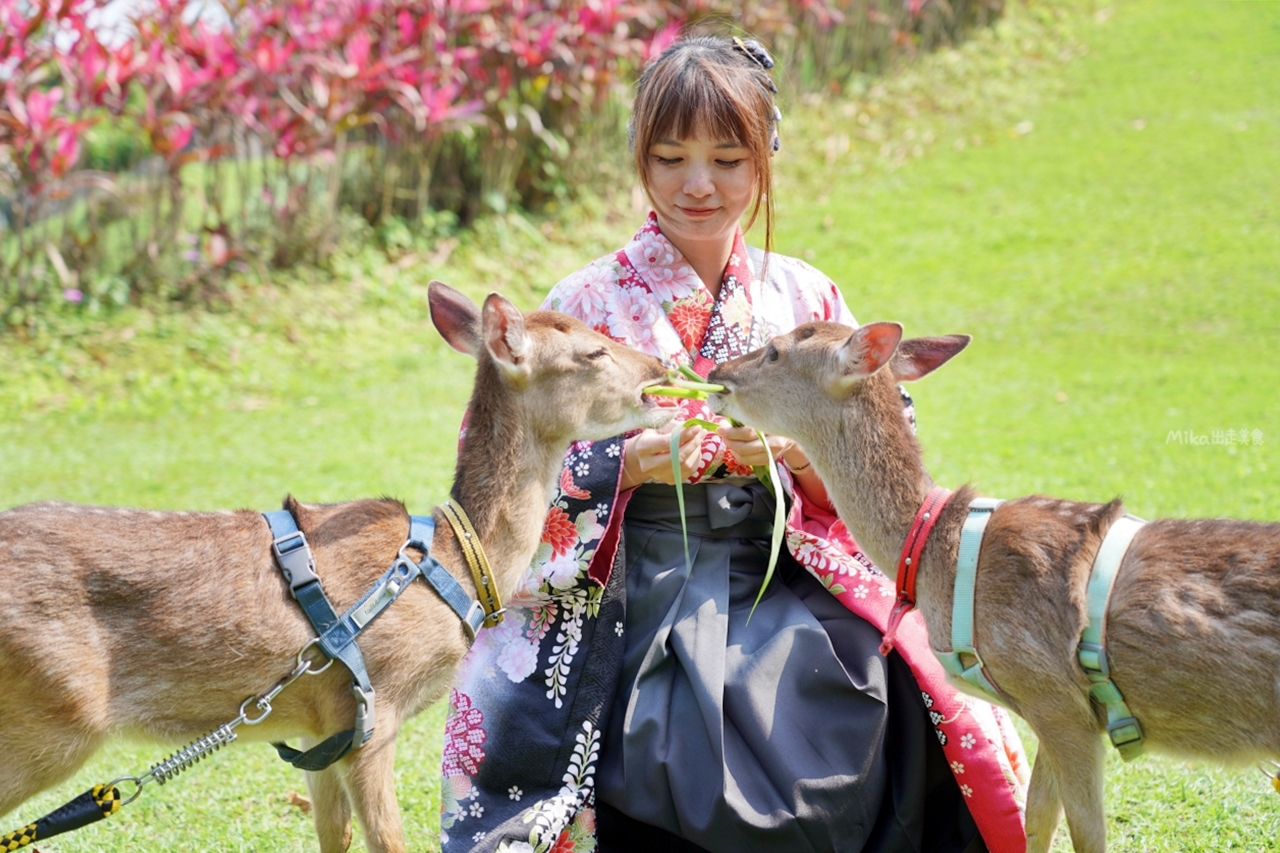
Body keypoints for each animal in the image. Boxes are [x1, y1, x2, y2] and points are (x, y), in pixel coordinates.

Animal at [0, 280, 675, 850]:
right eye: (592, 351)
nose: (661, 370)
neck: (457, 563)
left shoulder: (316, 728)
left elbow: (335, 836)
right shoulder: (373, 711)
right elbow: (388, 842)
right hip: (50, 722)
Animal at [706, 320, 1280, 850]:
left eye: (775, 350)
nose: (716, 373)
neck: (938, 556)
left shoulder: (1054, 696)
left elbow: (1086, 832)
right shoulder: (1056, 708)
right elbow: (1037, 819)